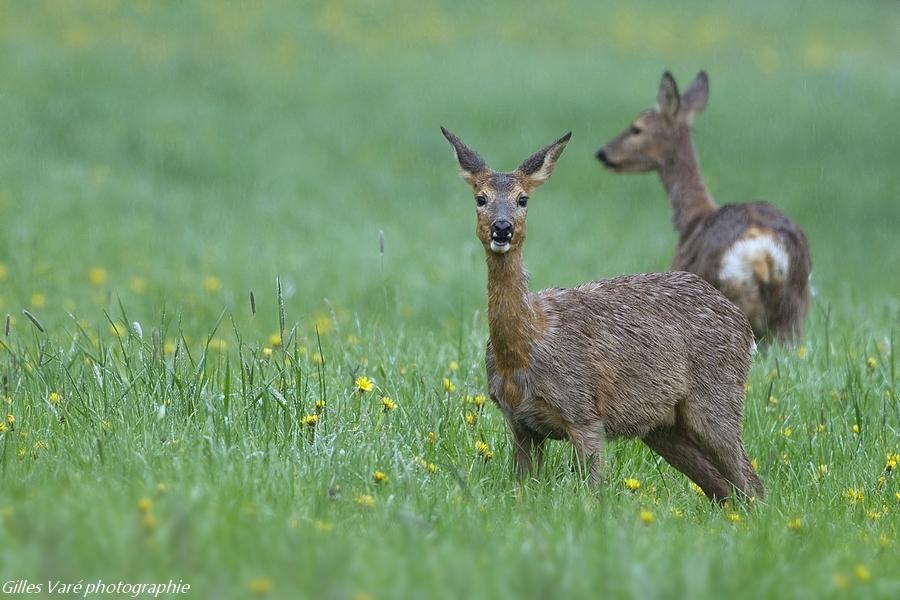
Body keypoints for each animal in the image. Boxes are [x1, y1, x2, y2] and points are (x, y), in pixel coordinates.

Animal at [440, 125, 764, 502]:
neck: (527, 347)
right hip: (663, 426)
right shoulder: (519, 423)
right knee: (724, 487)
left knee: (749, 479)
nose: (502, 228)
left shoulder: (584, 413)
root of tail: (742, 323)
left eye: (523, 199)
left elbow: (591, 491)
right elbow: (522, 486)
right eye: (481, 198)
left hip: (718, 397)